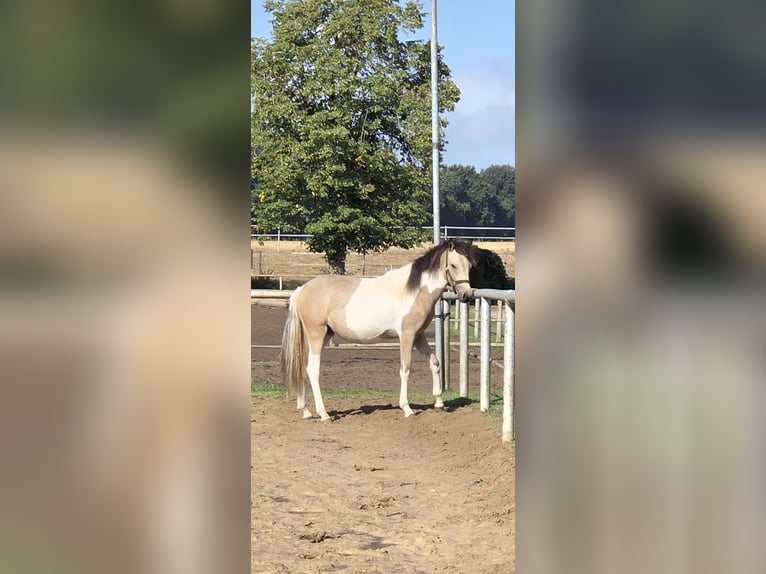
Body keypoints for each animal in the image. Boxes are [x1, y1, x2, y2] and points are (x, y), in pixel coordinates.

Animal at [281, 239, 476, 421]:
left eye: (469, 266)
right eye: (453, 265)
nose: (467, 295)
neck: (413, 291)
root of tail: (301, 289)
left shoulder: (419, 336)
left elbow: (434, 363)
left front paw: (439, 403)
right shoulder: (406, 336)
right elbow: (405, 369)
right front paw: (407, 408)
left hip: (316, 338)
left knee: (303, 368)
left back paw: (306, 411)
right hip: (317, 336)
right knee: (313, 370)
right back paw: (323, 414)